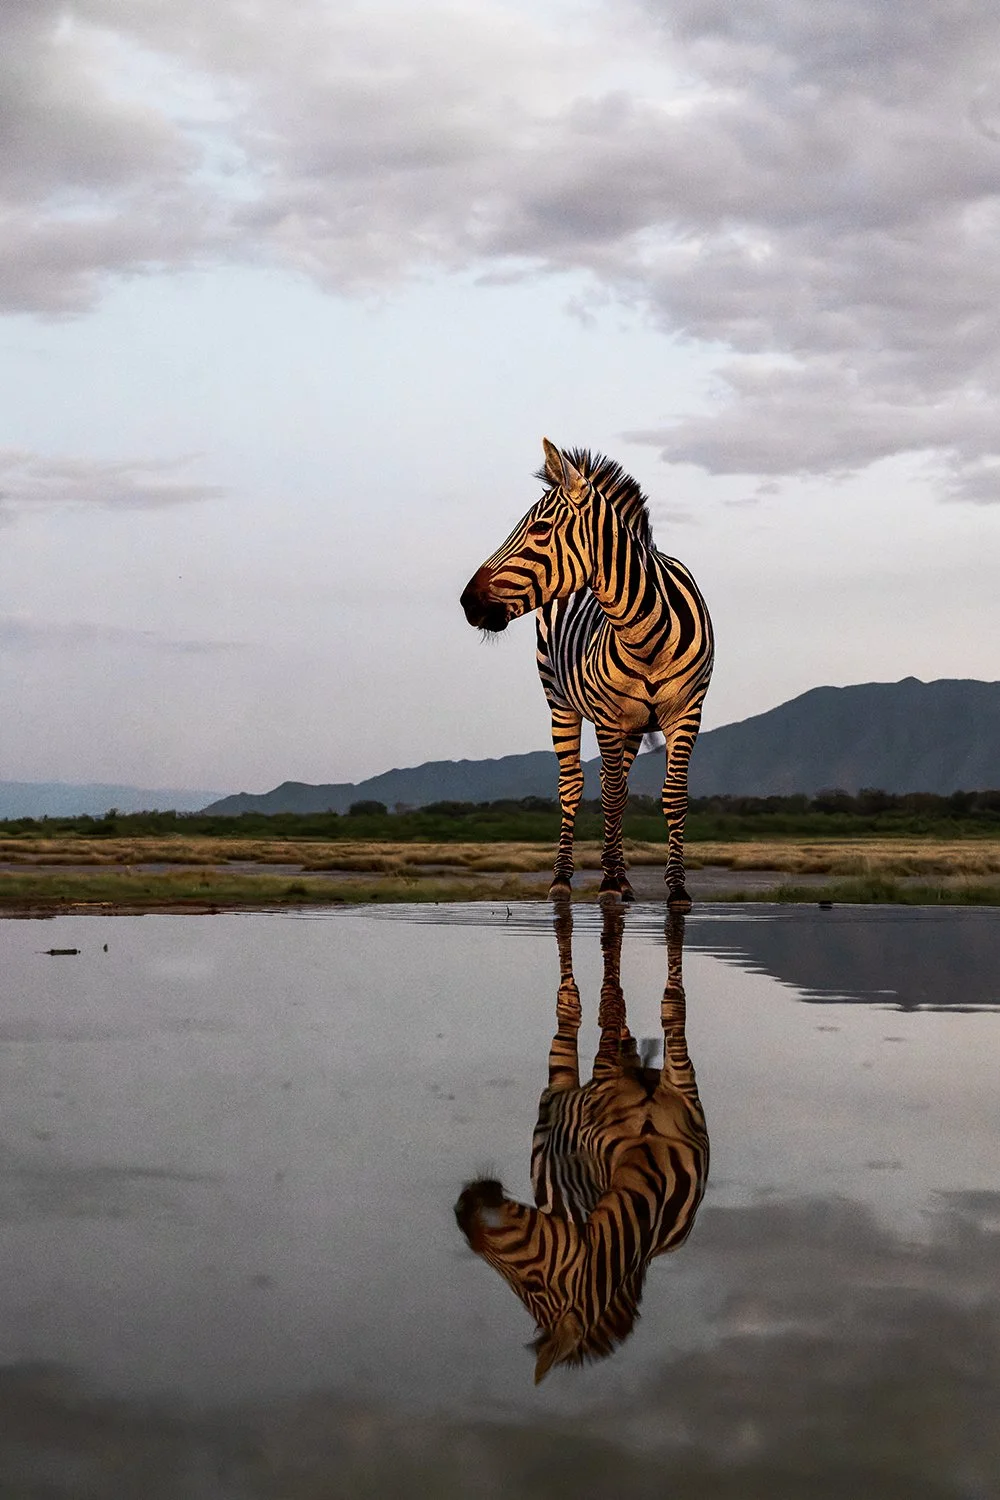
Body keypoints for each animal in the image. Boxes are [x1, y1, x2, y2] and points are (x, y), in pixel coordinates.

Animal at [455, 902, 709, 1383]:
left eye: (533, 1285)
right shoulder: (604, 1083)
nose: (461, 1211)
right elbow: (610, 1006)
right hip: (558, 1079)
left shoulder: (683, 1084)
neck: (649, 1152)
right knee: (568, 1010)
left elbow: (672, 1010)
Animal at [460, 438, 714, 909]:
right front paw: (608, 882)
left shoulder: (687, 713)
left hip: (633, 725)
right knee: (574, 786)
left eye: (540, 529)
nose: (468, 602)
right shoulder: (609, 717)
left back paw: (625, 879)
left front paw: (676, 887)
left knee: (617, 784)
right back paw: (565, 879)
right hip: (561, 702)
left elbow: (672, 797)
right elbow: (610, 798)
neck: (647, 634)